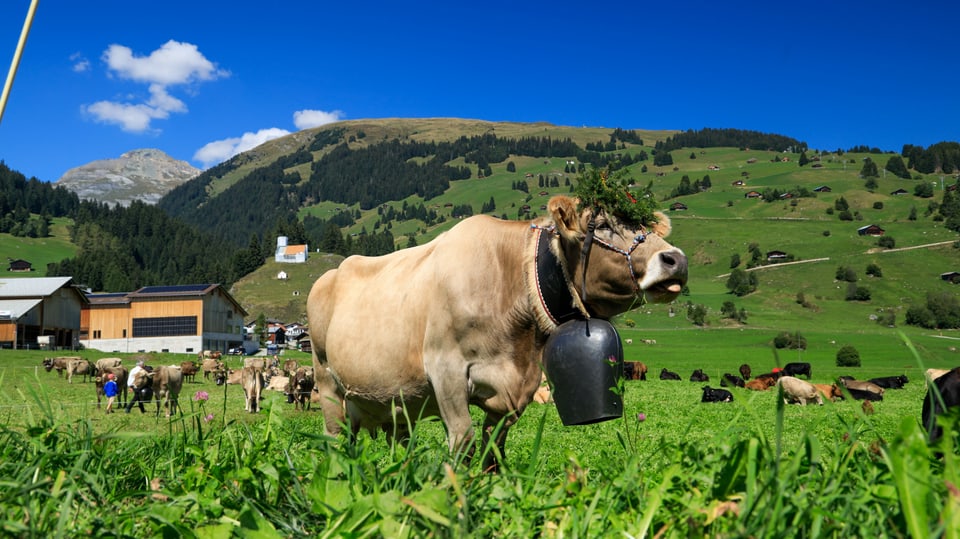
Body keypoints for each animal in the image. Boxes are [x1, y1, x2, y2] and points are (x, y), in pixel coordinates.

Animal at [306, 195, 684, 472]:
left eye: (646, 225)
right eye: (602, 225)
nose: (676, 259)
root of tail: (329, 275)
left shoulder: (519, 389)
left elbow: (493, 449)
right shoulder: (445, 371)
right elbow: (464, 441)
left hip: (388, 399)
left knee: (394, 438)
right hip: (326, 379)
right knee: (335, 437)